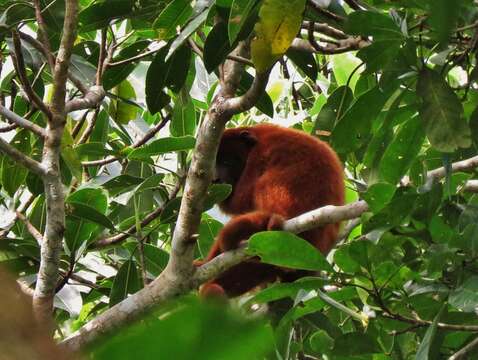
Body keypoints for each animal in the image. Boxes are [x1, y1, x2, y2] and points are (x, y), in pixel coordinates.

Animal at [198, 124, 344, 298]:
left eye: (227, 162)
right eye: (214, 163)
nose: (215, 179)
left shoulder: (260, 155)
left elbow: (241, 199)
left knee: (263, 186)